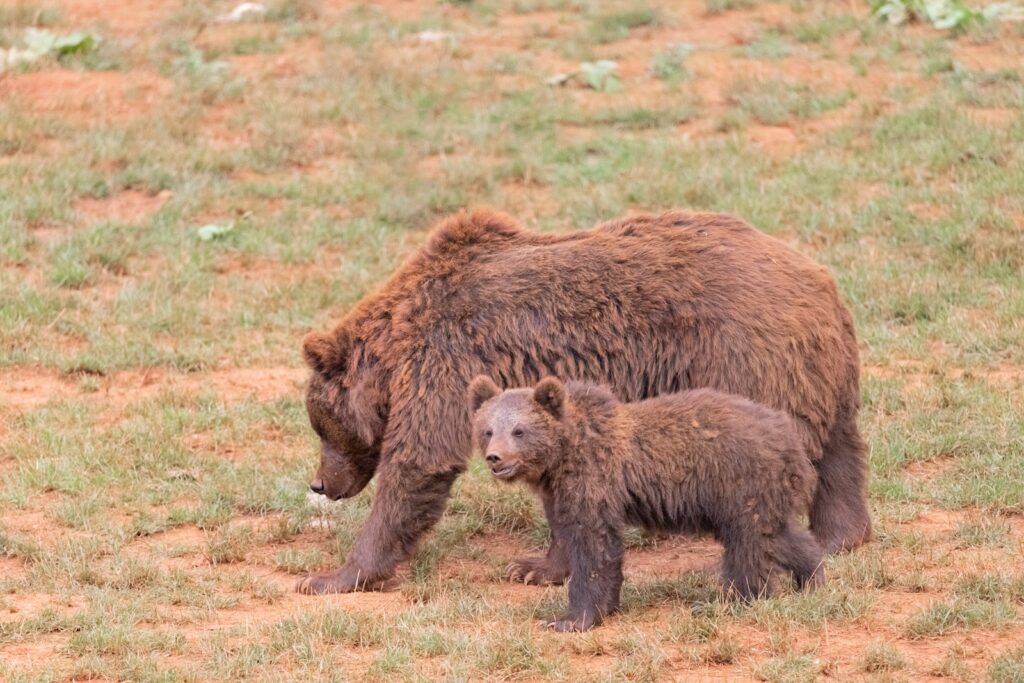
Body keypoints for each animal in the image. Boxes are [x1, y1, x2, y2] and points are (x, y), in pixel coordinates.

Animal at [295, 207, 868, 596]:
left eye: (321, 427)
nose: (321, 483)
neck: (393, 352)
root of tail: (820, 280)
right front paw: (536, 567)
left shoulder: (445, 359)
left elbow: (418, 462)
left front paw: (333, 576)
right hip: (820, 372)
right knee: (841, 454)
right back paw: (840, 536)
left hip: (743, 361)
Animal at [468, 375, 825, 632]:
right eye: (488, 430)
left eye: (519, 430)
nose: (495, 458)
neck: (561, 459)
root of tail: (790, 439)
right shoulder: (559, 494)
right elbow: (567, 535)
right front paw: (527, 569)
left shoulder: (594, 482)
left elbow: (594, 548)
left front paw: (569, 618)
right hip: (760, 493)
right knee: (777, 536)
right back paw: (811, 577)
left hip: (739, 483)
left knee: (747, 545)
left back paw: (730, 600)